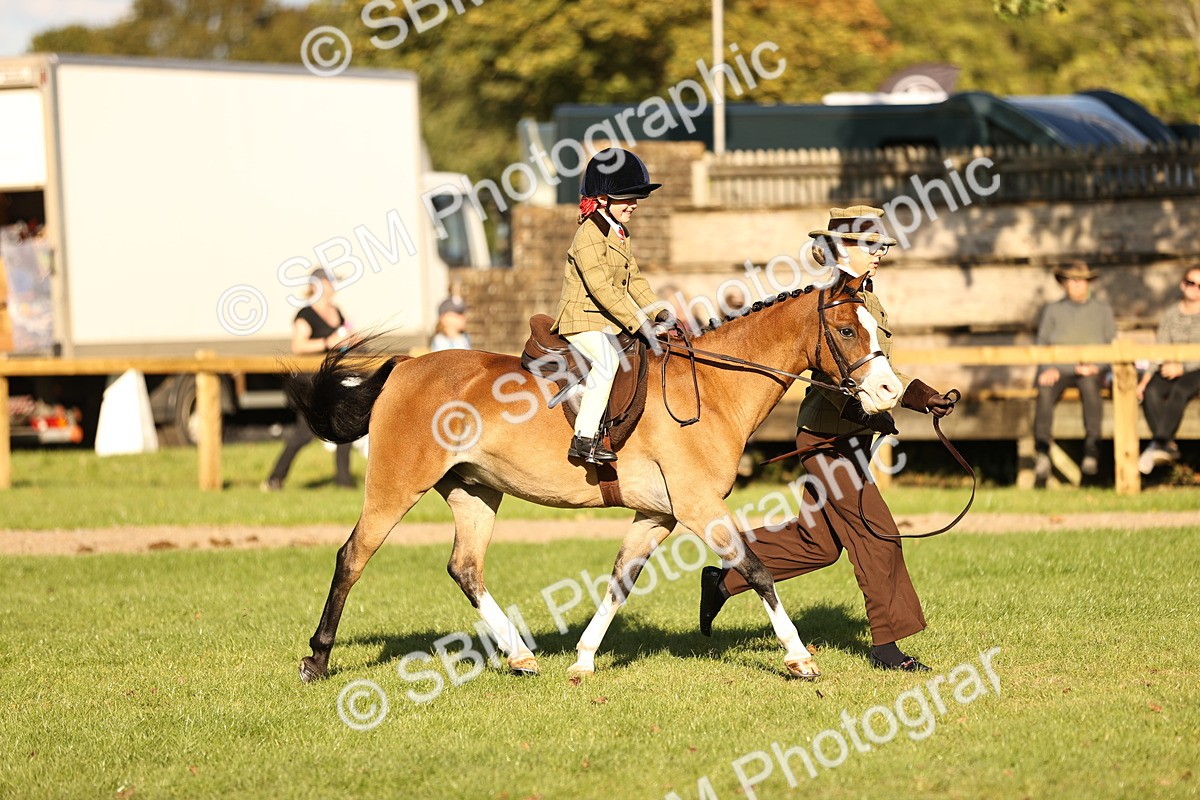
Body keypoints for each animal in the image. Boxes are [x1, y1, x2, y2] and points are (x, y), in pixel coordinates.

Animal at [293, 269, 901, 683]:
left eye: (878, 327)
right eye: (846, 329)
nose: (891, 391)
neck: (709, 389)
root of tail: (406, 366)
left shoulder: (656, 515)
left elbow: (620, 581)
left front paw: (584, 660)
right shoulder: (699, 506)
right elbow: (756, 570)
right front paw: (799, 657)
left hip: (474, 490)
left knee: (465, 568)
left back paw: (520, 655)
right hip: (396, 488)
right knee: (352, 557)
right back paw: (317, 659)